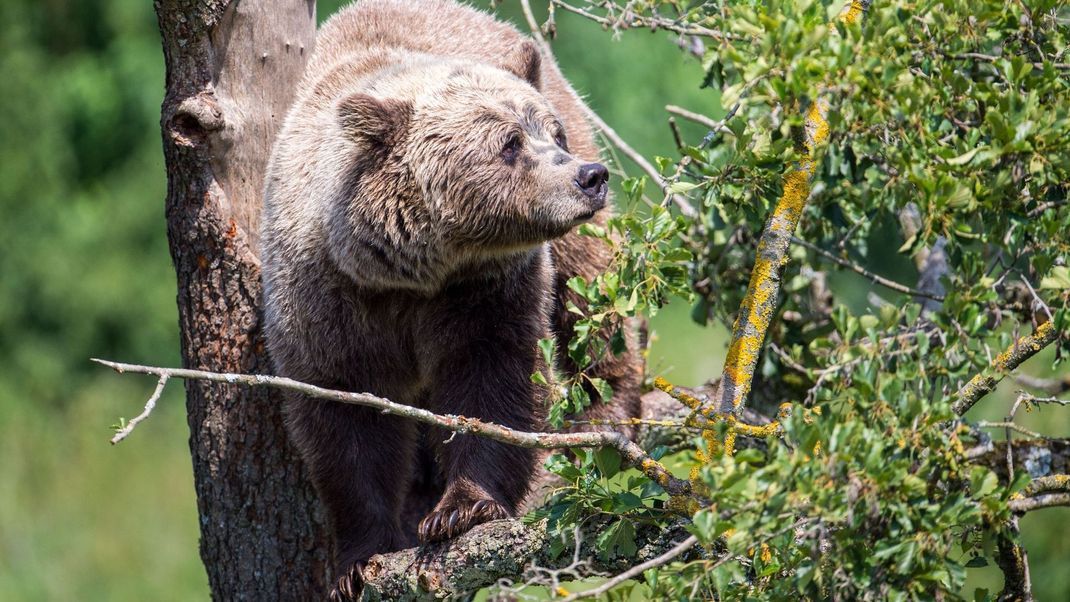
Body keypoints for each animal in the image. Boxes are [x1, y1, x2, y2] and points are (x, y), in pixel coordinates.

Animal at [262, 0, 637, 598]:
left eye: (549, 133)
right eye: (509, 144)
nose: (588, 177)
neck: (414, 272)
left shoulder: (486, 292)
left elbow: (494, 382)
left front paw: (461, 509)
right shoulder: (327, 302)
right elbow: (345, 420)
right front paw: (359, 559)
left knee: (591, 295)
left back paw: (608, 414)